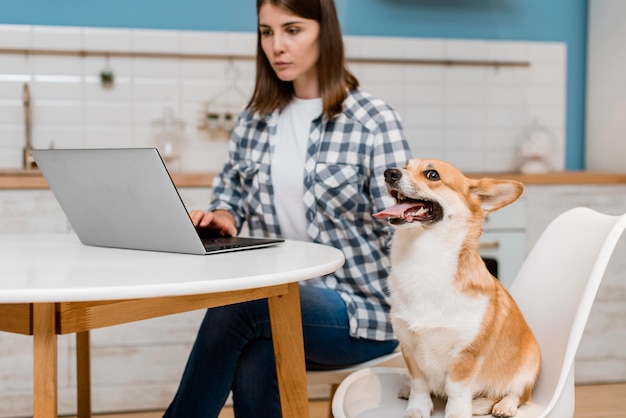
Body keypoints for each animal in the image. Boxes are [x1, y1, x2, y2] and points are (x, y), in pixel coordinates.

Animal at [372, 158, 540, 416]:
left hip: (530, 364)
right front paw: (417, 408)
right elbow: (420, 384)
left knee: (519, 393)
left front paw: (457, 412)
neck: (424, 260)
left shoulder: (465, 355)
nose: (389, 173)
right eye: (405, 166)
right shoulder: (409, 349)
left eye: (432, 174)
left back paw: (504, 405)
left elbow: (457, 392)